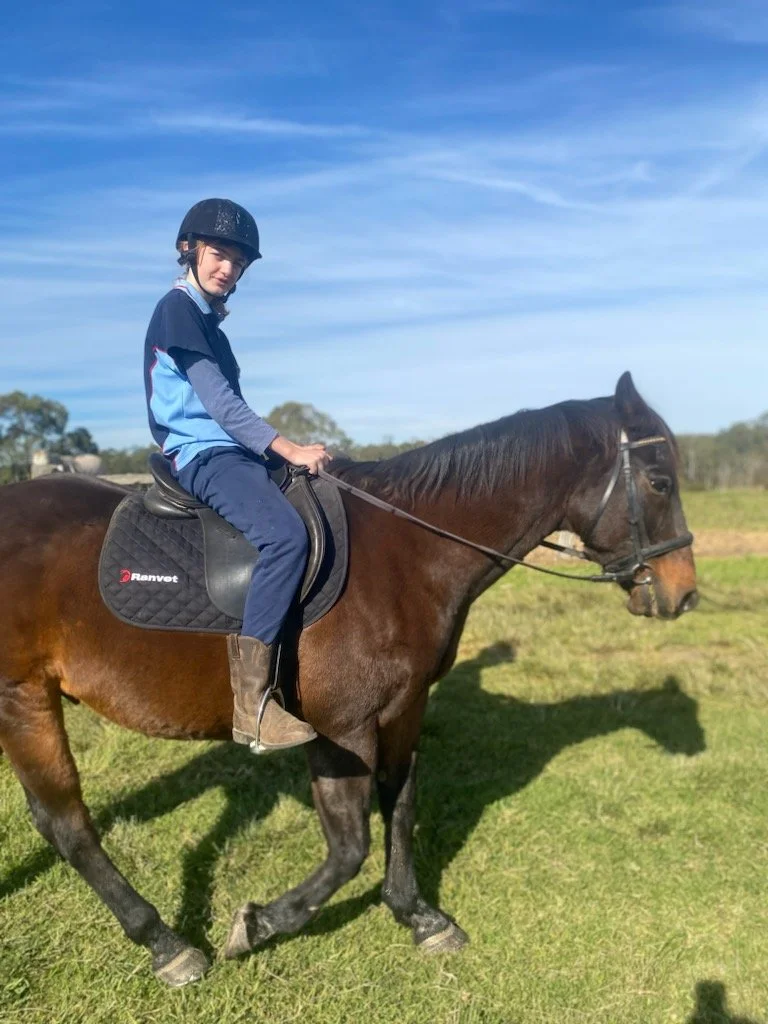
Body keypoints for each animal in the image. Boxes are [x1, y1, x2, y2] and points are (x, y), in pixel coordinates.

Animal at [0, 373, 698, 986]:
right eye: (660, 481)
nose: (684, 594)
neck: (406, 551)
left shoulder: (404, 708)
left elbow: (401, 806)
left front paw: (417, 915)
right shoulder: (342, 728)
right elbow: (348, 846)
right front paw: (261, 923)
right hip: (23, 696)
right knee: (65, 822)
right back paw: (166, 944)